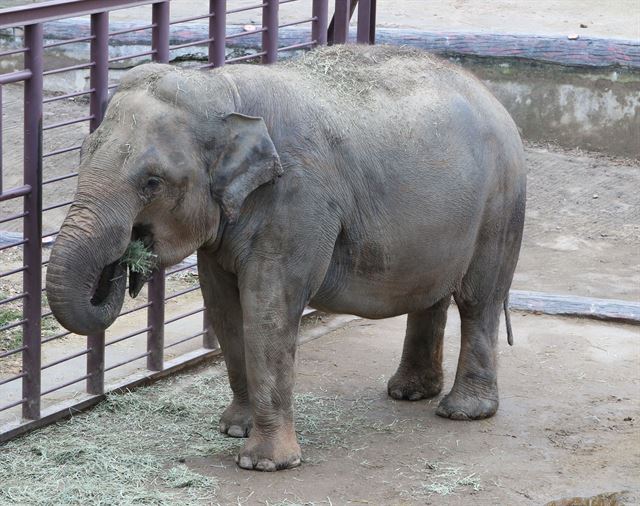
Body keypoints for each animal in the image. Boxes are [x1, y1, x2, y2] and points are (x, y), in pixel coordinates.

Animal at [45, 45, 524, 472]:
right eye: (82, 153)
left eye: (152, 183)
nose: (127, 263)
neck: (222, 88)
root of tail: (493, 98)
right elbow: (223, 307)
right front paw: (233, 429)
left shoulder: (297, 200)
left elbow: (268, 309)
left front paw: (264, 463)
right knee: (433, 295)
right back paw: (409, 393)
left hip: (500, 203)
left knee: (478, 300)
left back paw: (463, 411)